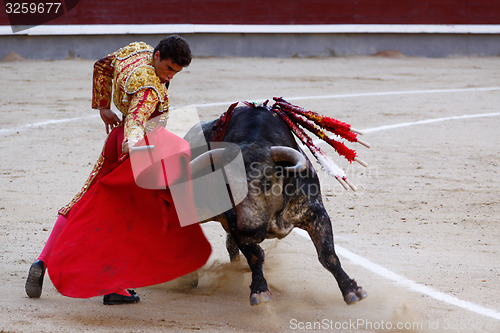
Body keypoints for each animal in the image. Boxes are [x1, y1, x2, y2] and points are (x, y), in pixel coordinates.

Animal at [184, 104, 368, 306]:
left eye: (266, 182)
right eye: (228, 187)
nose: (249, 231)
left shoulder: (315, 212)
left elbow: (328, 255)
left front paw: (351, 290)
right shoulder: (235, 224)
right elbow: (256, 255)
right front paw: (260, 290)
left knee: (229, 244)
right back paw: (190, 279)